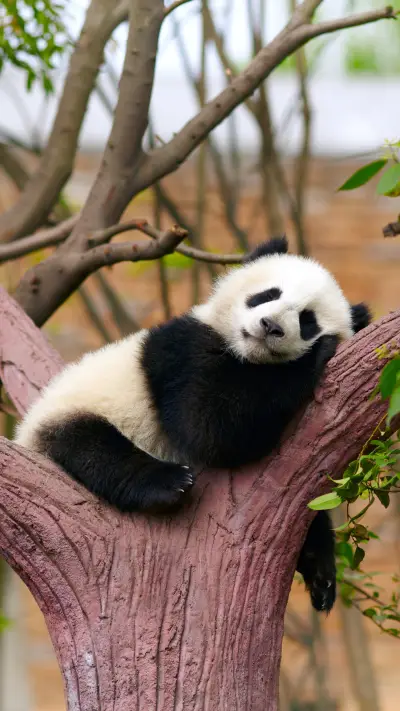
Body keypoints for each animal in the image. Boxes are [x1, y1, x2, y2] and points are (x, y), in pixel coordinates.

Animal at [15, 236, 371, 612]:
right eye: (267, 294)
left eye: (307, 320)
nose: (270, 326)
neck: (247, 355)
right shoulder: (182, 351)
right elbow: (210, 427)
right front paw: (316, 356)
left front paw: (321, 571)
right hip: (72, 412)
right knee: (93, 447)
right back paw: (168, 482)